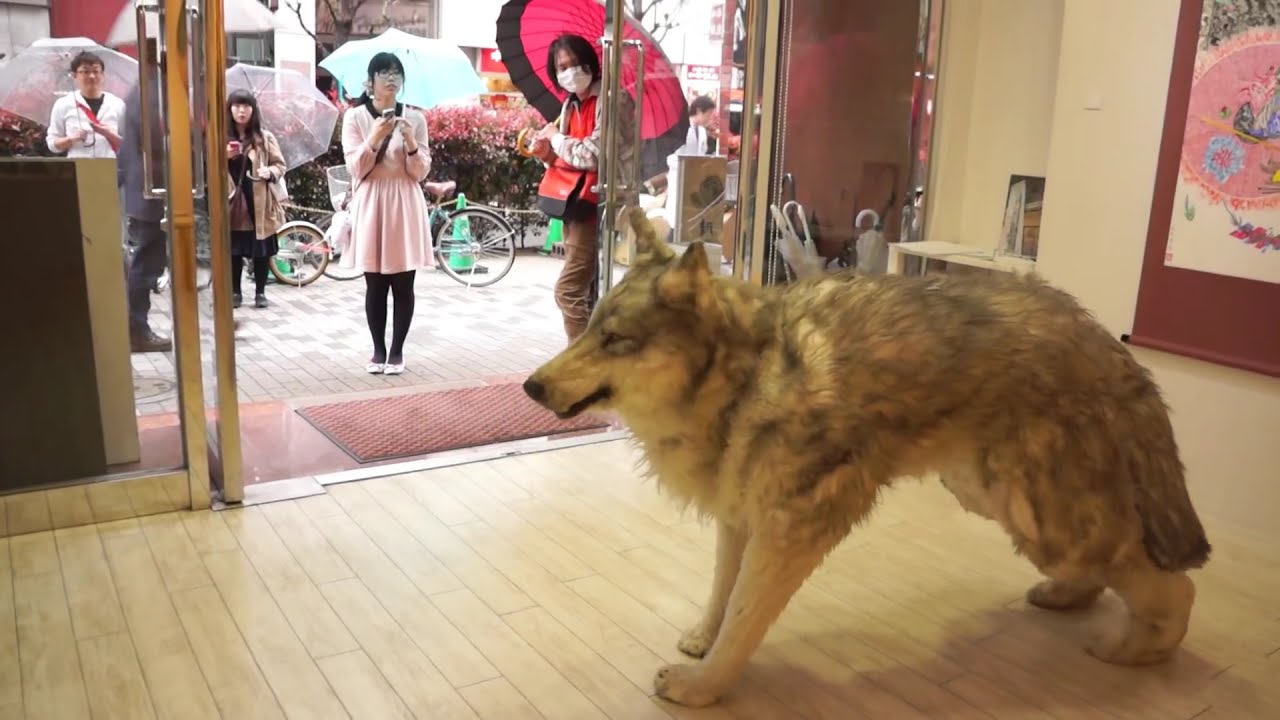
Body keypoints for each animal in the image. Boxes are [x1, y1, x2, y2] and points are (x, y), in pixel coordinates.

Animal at [522, 210, 1212, 708]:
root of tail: (1102, 337)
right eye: (590, 329)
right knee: (1114, 563)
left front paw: (703, 689)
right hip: (998, 500)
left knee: (1171, 584)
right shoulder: (740, 515)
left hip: (1039, 518)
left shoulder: (793, 530)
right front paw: (701, 642)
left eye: (616, 339)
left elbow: (745, 616)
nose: (529, 387)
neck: (749, 374)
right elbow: (721, 594)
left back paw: (1138, 650)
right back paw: (1069, 599)